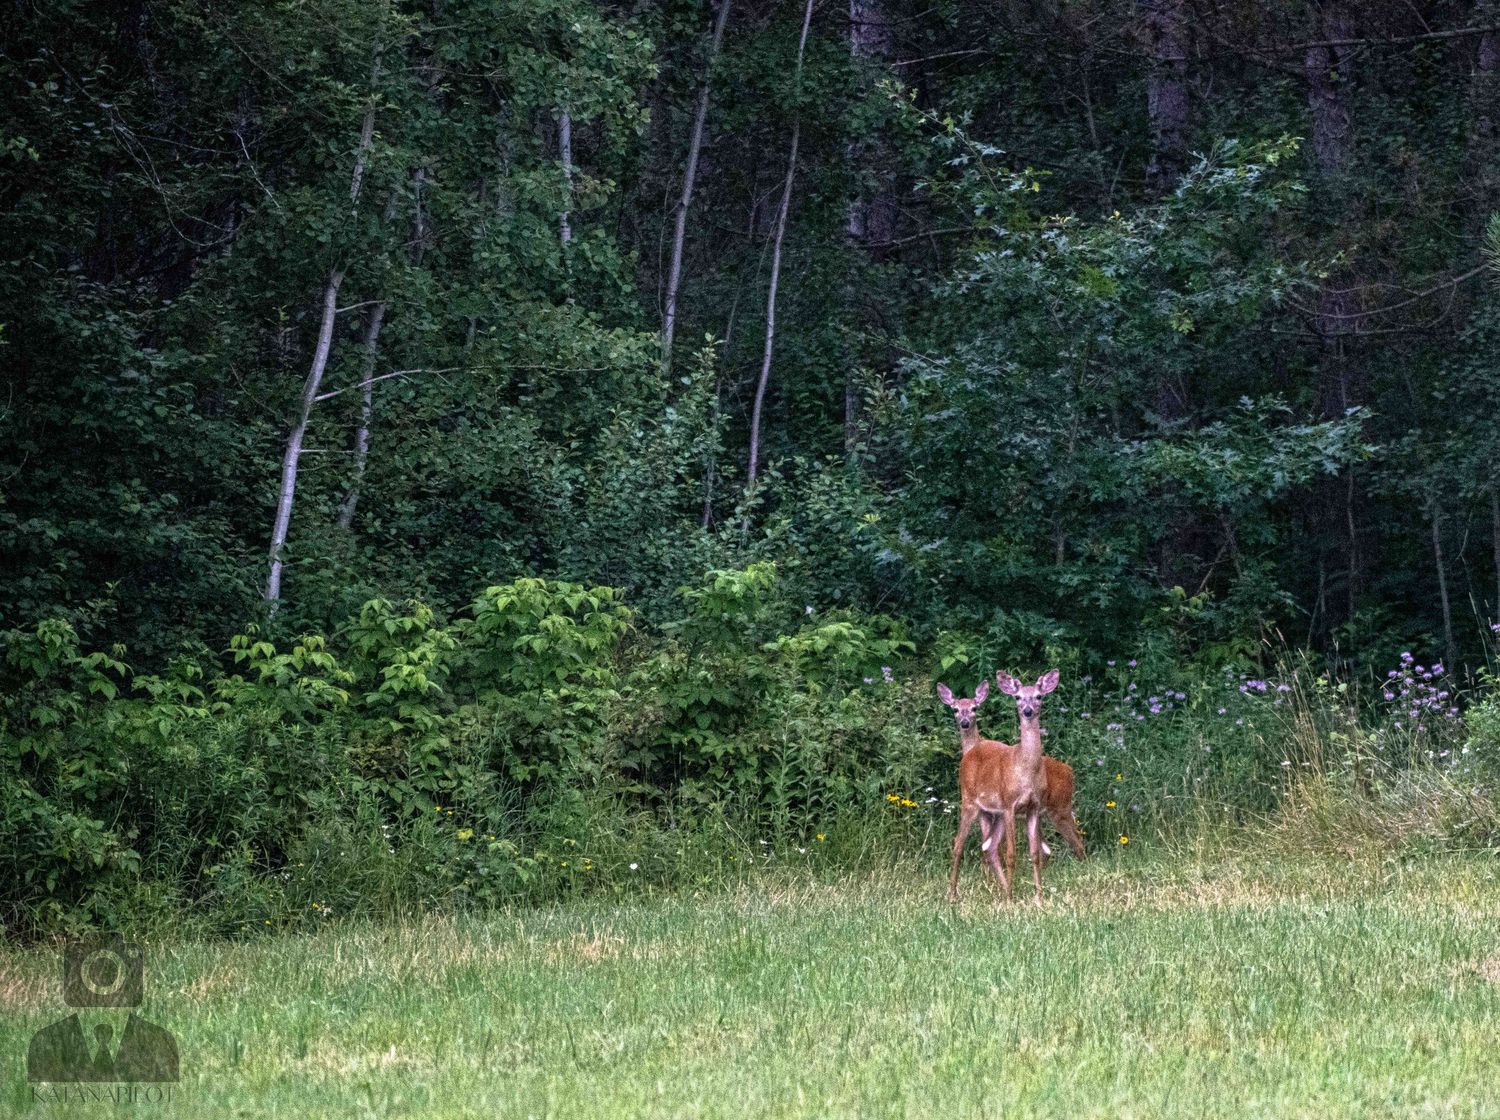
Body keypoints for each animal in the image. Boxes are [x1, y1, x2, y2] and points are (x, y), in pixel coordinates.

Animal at [938, 676, 1084, 903]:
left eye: (974, 708)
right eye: (955, 709)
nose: (964, 722)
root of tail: (1070, 771)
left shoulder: (1015, 809)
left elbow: (1013, 851)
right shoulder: (1002, 809)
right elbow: (1002, 850)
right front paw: (1004, 890)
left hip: (1058, 809)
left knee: (1075, 844)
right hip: (973, 802)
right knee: (964, 845)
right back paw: (957, 893)